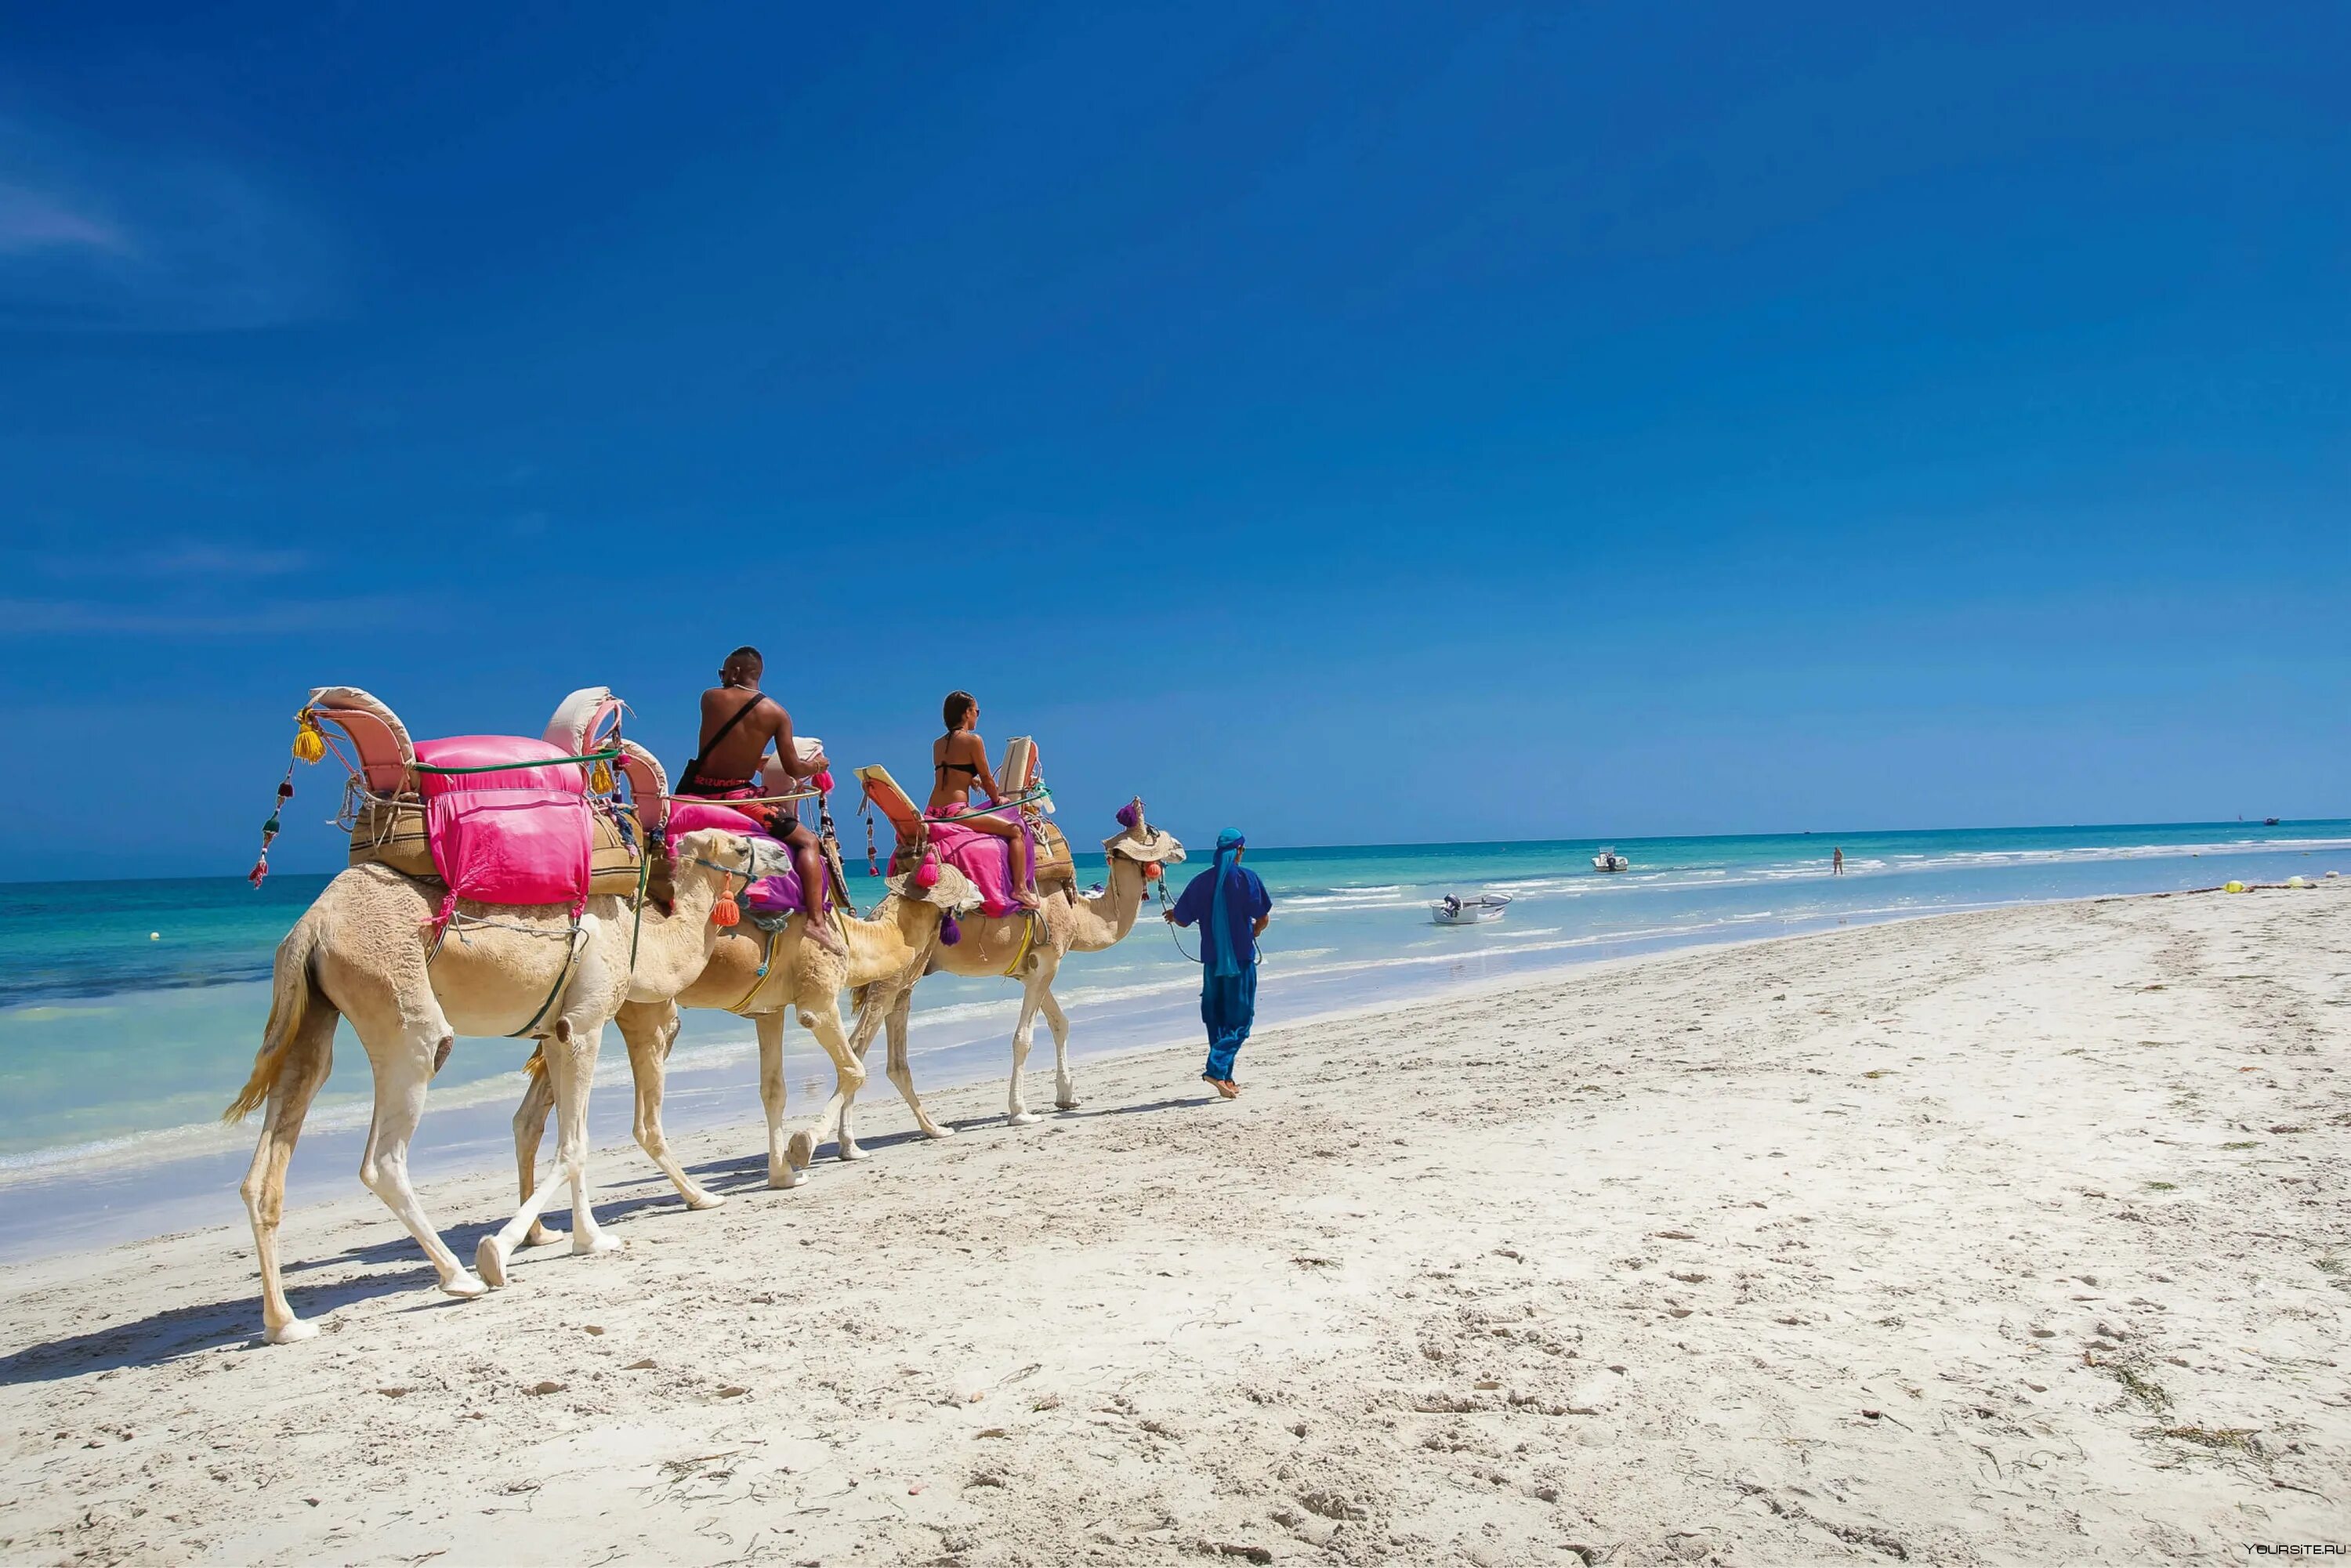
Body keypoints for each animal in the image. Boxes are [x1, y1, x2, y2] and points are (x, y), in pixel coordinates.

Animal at [224, 827, 785, 1345]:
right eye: (739, 847)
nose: (780, 853)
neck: (639, 940)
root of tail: (312, 924)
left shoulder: (560, 1031)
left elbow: (565, 1137)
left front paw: (586, 1239)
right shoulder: (586, 1022)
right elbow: (574, 1144)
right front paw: (519, 1249)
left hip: (313, 1013)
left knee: (273, 1153)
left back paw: (285, 1323)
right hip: (397, 1003)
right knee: (385, 1152)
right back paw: (460, 1277)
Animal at [510, 865, 987, 1232]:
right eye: (964, 878)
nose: (983, 895)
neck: (854, 939)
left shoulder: (768, 1010)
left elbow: (773, 1090)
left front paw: (781, 1175)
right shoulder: (817, 1001)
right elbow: (854, 1070)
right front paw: (803, 1147)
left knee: (531, 1117)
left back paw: (538, 1233)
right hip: (636, 1006)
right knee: (632, 1115)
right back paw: (692, 1198)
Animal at [832, 809, 1194, 1152]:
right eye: (1153, 832)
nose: (1181, 847)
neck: (1079, 915)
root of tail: (875, 915)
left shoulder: (1031, 969)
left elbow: (1060, 1023)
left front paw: (1067, 1097)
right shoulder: (1048, 959)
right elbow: (1024, 1038)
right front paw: (1020, 1112)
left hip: (908, 977)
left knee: (895, 1055)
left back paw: (933, 1128)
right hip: (892, 976)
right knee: (857, 1046)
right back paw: (850, 1144)